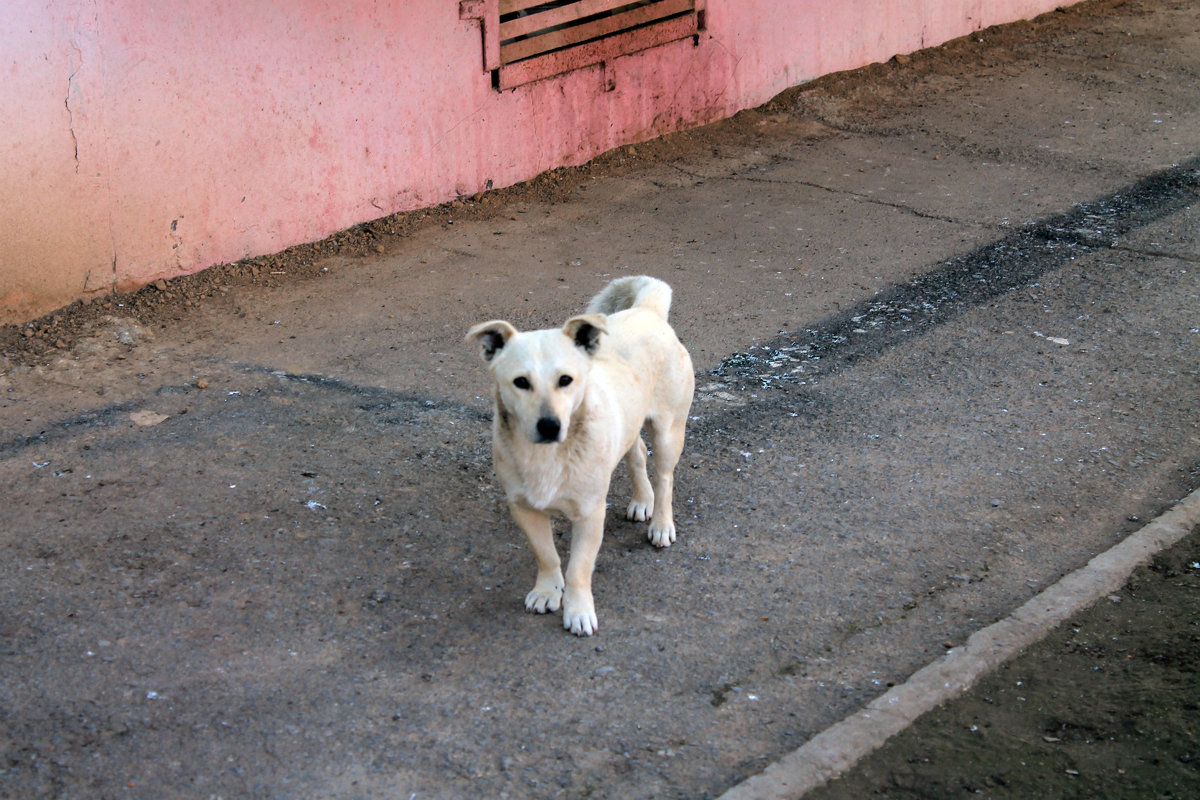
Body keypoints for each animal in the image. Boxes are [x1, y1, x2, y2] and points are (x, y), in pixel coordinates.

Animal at [468, 277, 696, 638]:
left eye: (566, 380)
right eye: (521, 382)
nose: (549, 425)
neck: (547, 455)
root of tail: (646, 310)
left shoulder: (590, 514)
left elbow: (578, 568)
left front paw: (578, 611)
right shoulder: (523, 509)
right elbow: (547, 555)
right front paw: (547, 591)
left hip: (668, 430)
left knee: (664, 478)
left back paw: (661, 524)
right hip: (628, 423)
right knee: (636, 455)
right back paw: (641, 501)